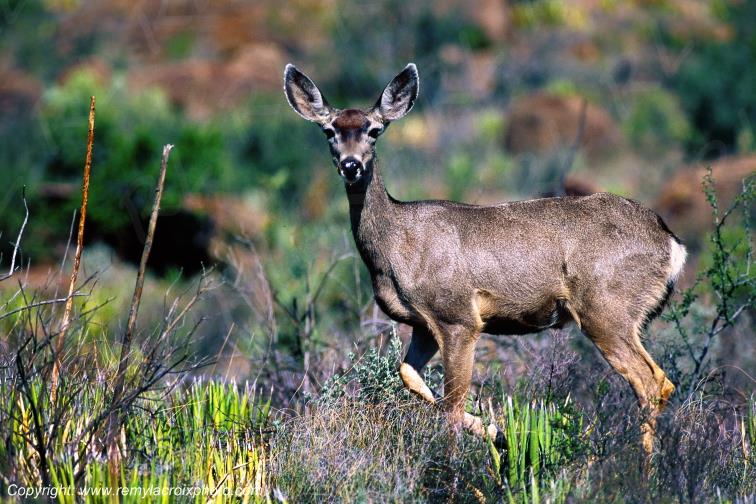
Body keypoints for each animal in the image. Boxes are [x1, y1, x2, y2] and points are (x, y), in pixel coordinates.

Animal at [283, 63, 686, 456]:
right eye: (329, 131)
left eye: (374, 130)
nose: (351, 165)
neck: (394, 248)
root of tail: (672, 243)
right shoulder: (423, 324)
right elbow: (409, 375)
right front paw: (498, 433)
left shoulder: (457, 316)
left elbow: (451, 405)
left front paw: (453, 461)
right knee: (659, 381)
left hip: (606, 307)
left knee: (652, 382)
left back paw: (642, 467)